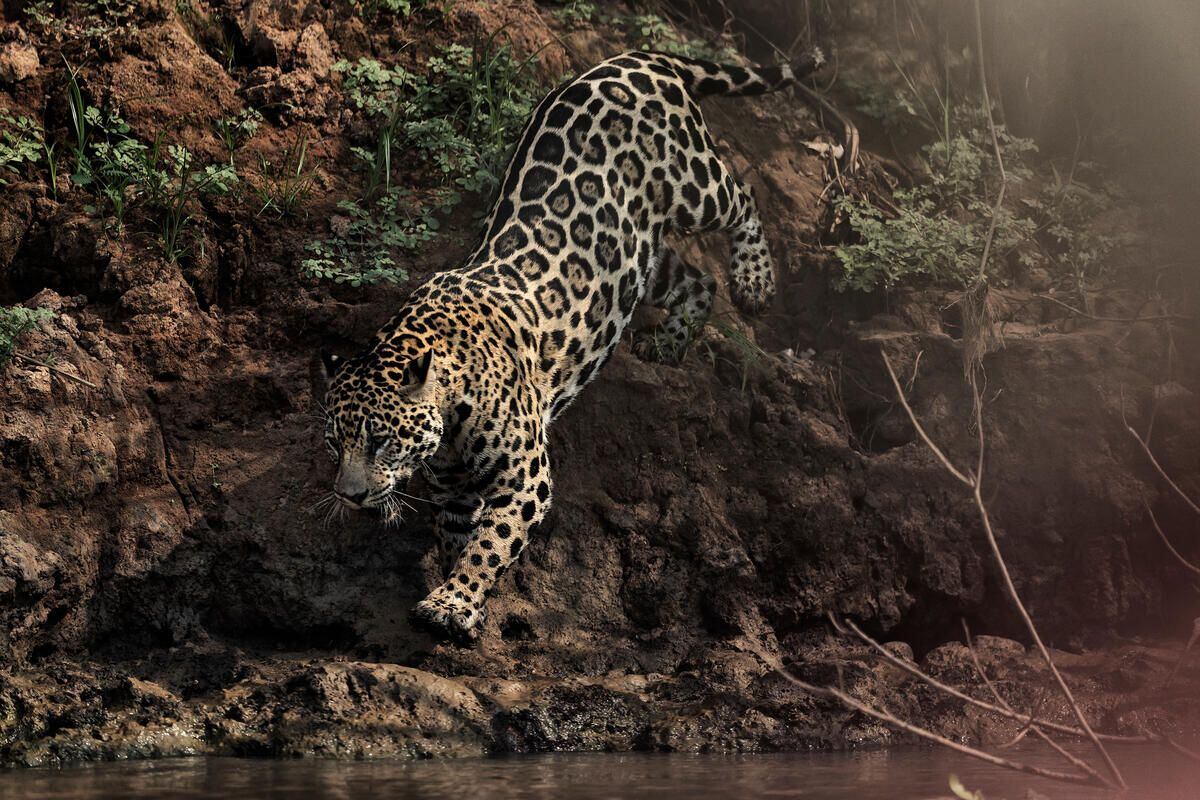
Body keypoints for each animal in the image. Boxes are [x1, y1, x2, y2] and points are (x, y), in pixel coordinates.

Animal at [318, 47, 825, 643]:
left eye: (380, 441)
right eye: (334, 443)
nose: (349, 496)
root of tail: (631, 59)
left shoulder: (526, 480)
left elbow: (489, 546)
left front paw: (452, 603)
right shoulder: (455, 492)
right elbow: (459, 542)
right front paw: (461, 599)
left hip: (695, 187)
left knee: (741, 197)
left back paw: (754, 281)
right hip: (633, 260)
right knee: (698, 280)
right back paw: (670, 343)